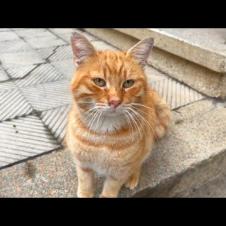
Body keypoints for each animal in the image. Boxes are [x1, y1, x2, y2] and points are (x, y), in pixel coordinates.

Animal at [65, 31, 171, 198]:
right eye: (99, 82)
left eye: (128, 83)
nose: (115, 101)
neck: (103, 136)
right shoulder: (82, 165)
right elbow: (85, 183)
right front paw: (85, 192)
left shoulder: (118, 173)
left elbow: (110, 189)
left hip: (146, 146)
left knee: (138, 164)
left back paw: (133, 178)